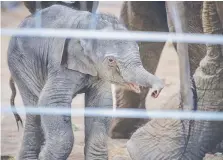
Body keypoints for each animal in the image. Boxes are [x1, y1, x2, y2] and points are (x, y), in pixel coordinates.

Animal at [7, 4, 164, 160]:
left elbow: (101, 104)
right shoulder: (60, 64)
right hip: (20, 64)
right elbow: (51, 101)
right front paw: (45, 156)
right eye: (111, 60)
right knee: (34, 110)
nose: (156, 92)